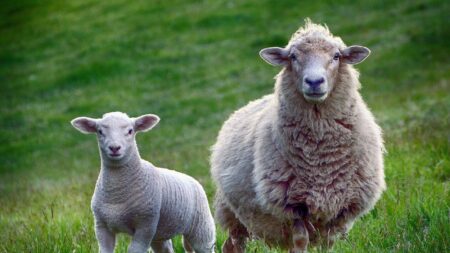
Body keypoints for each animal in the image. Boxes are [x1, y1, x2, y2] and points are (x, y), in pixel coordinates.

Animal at [71, 111, 215, 253]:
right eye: (100, 131)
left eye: (130, 131)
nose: (114, 148)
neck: (117, 193)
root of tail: (193, 179)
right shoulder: (101, 226)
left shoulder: (145, 225)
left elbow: (134, 250)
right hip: (160, 233)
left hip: (202, 228)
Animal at [211, 20, 386, 253]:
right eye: (293, 57)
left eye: (336, 56)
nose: (314, 81)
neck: (321, 157)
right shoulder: (292, 206)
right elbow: (301, 240)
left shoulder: (340, 207)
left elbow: (327, 244)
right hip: (232, 214)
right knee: (234, 244)